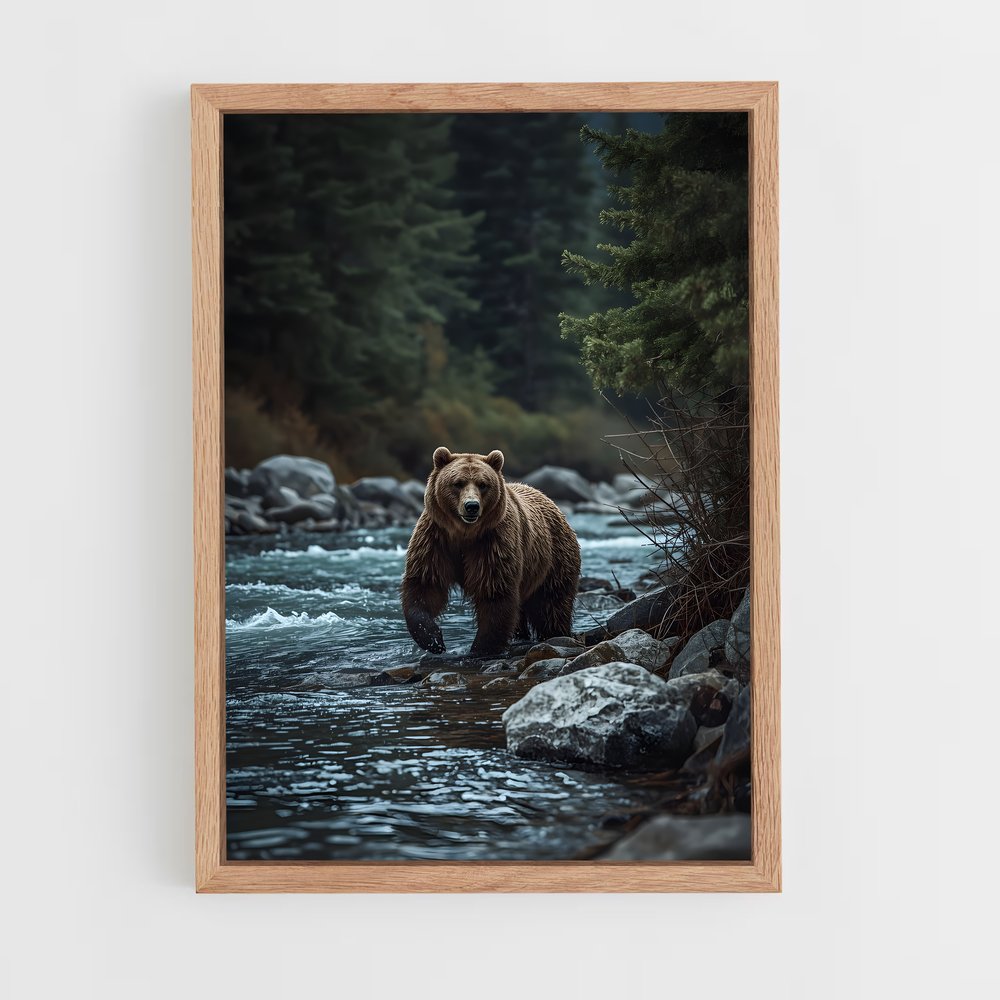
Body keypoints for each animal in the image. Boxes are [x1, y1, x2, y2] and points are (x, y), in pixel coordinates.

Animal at [401, 447, 581, 656]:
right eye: (458, 483)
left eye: (483, 484)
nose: (471, 506)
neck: (464, 534)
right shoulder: (436, 540)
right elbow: (425, 585)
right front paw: (433, 639)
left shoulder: (493, 543)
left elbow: (495, 593)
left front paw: (481, 648)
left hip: (554, 559)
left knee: (551, 605)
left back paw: (556, 634)